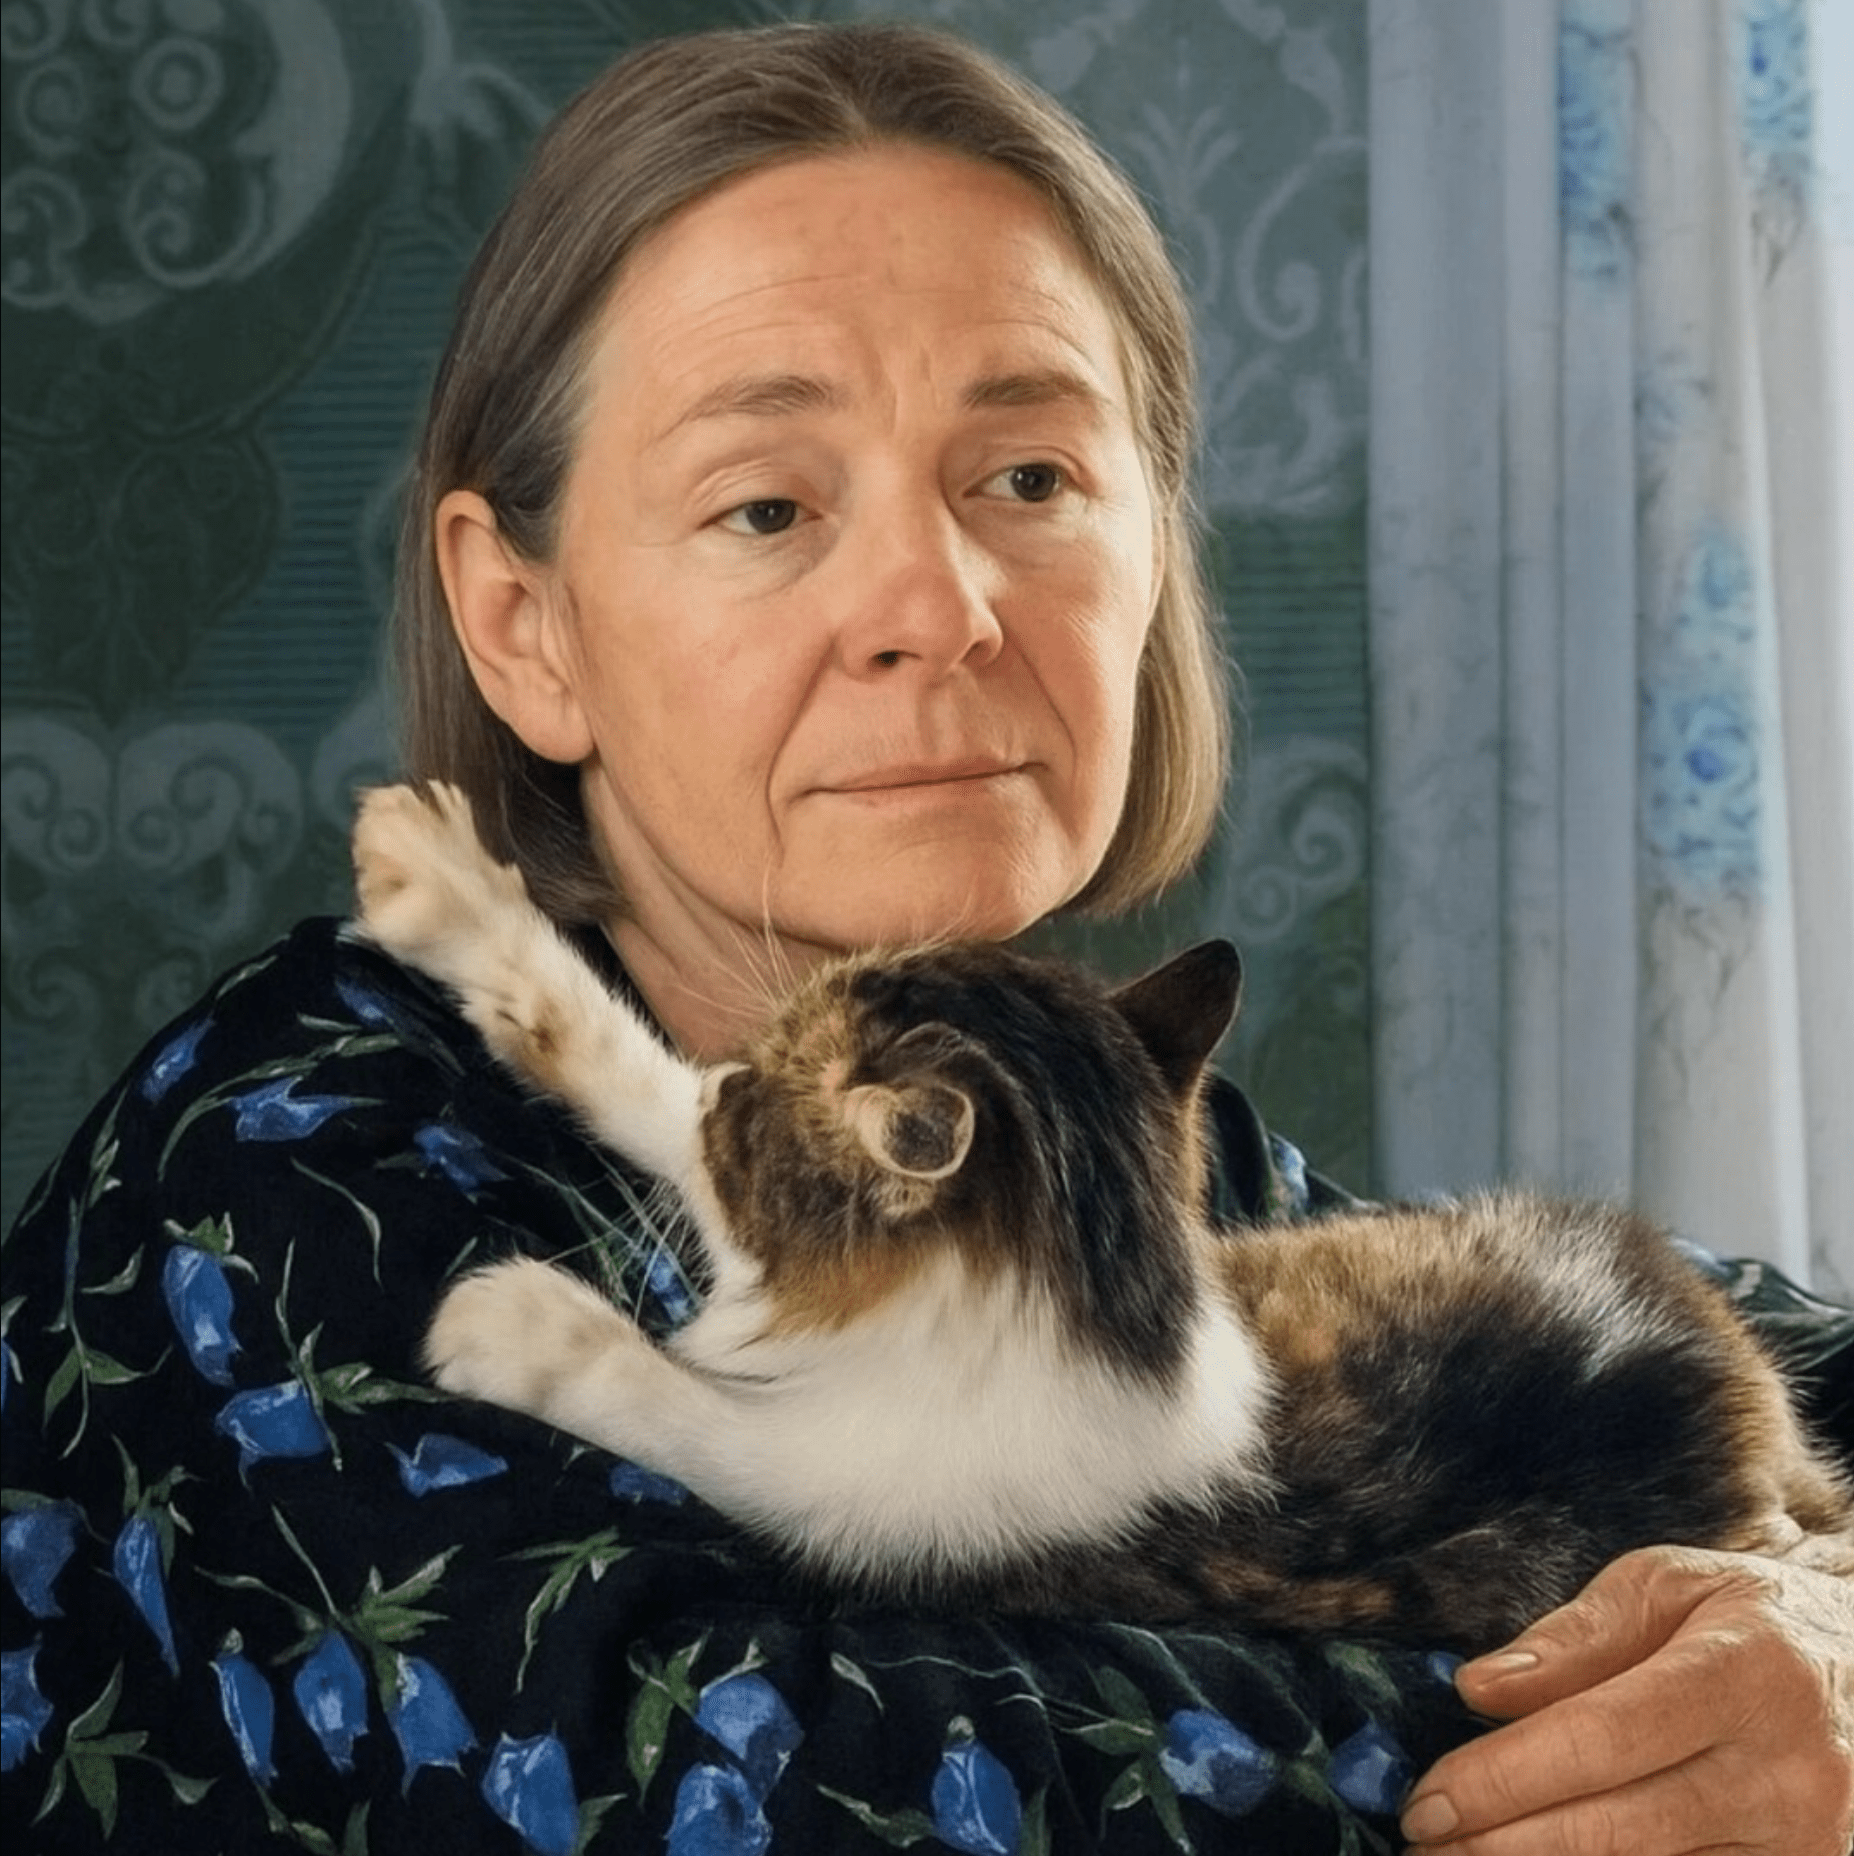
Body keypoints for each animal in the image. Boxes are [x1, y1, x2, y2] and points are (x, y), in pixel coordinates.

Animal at [351, 781, 1854, 1652]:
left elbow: (676, 1400)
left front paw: (517, 1323)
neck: (1097, 1297)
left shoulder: (851, 1493)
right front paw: (452, 894)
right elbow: (621, 1057)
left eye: (766, 1090)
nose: (739, 1079)